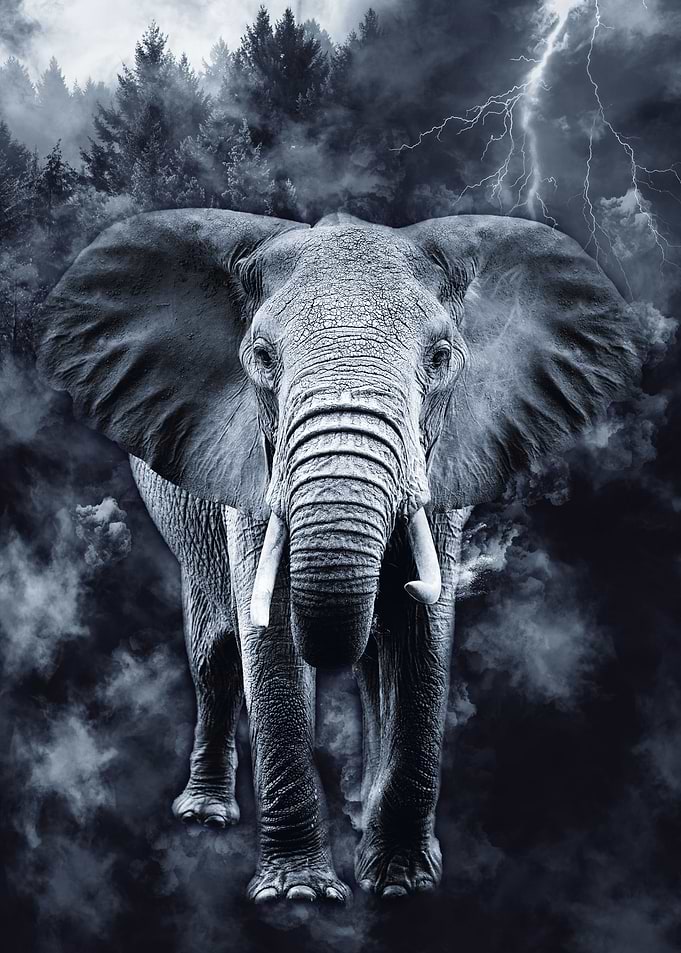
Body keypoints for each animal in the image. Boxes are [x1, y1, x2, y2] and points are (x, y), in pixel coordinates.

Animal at [35, 209, 639, 903]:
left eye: (441, 358)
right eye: (261, 358)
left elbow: (421, 635)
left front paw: (401, 884)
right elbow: (266, 634)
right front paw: (298, 895)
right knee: (216, 648)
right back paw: (207, 816)